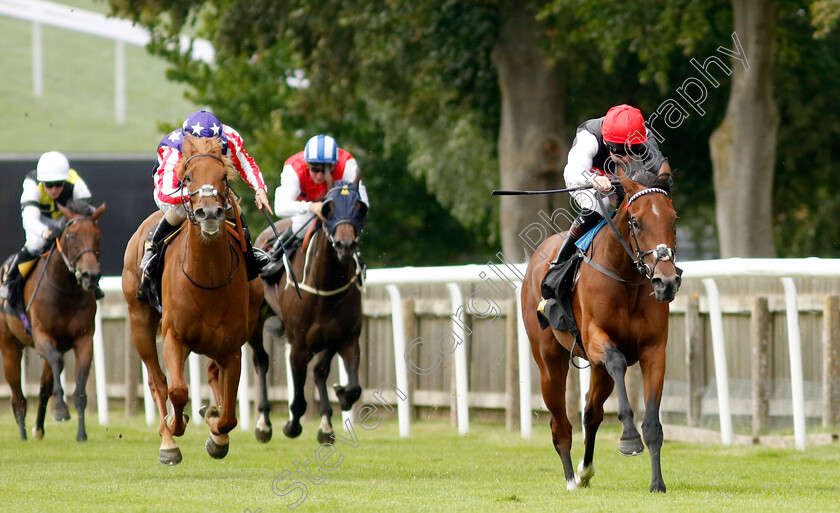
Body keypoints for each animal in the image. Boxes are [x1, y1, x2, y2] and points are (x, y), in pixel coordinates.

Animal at [0, 200, 106, 440]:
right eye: (72, 236)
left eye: (98, 235)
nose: (90, 276)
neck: (64, 289)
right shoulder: (42, 336)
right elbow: (57, 363)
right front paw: (60, 409)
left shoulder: (84, 340)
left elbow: (79, 389)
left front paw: (81, 434)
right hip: (10, 347)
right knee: (17, 396)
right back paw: (23, 435)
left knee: (43, 386)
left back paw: (38, 429)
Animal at [120, 135, 262, 464]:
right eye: (186, 178)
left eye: (223, 177)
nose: (208, 213)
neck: (207, 281)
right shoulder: (174, 336)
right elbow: (177, 391)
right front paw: (176, 423)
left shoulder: (231, 347)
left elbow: (230, 415)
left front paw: (216, 432)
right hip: (140, 322)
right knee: (158, 381)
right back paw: (168, 438)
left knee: (211, 375)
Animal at [249, 180, 368, 444]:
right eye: (328, 208)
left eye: (360, 207)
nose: (346, 245)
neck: (326, 285)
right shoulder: (299, 345)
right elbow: (299, 401)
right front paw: (291, 426)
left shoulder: (346, 337)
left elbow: (352, 387)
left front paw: (341, 396)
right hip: (254, 322)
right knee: (261, 360)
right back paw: (263, 422)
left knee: (319, 371)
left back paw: (325, 423)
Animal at [524, 172, 684, 492]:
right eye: (636, 221)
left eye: (673, 219)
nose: (666, 281)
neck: (627, 278)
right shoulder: (596, 339)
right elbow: (618, 361)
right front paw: (629, 439)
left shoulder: (654, 351)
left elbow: (652, 423)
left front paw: (657, 483)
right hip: (549, 363)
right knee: (560, 423)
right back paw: (571, 478)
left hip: (597, 371)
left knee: (591, 412)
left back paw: (585, 471)